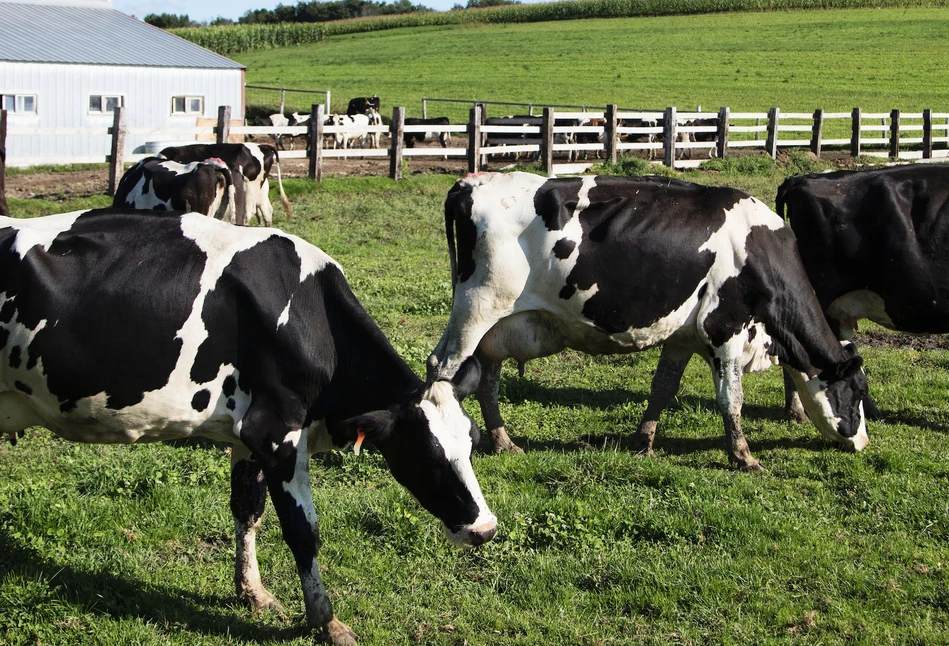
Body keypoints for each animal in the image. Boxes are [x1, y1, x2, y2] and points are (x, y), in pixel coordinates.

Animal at [0, 210, 500, 644]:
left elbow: (247, 510)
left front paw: (252, 592)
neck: (310, 316)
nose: (486, 529)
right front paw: (326, 622)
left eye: (472, 445)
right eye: (427, 456)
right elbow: (303, 531)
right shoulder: (277, 432)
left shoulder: (246, 433)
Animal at [428, 172, 868, 470]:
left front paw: (644, 441)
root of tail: (468, 183)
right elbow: (731, 399)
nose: (863, 442)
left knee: (486, 378)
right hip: (475, 310)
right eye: (857, 392)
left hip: (494, 326)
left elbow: (663, 388)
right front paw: (743, 457)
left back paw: (503, 442)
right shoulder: (725, 328)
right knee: (444, 368)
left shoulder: (682, 336)